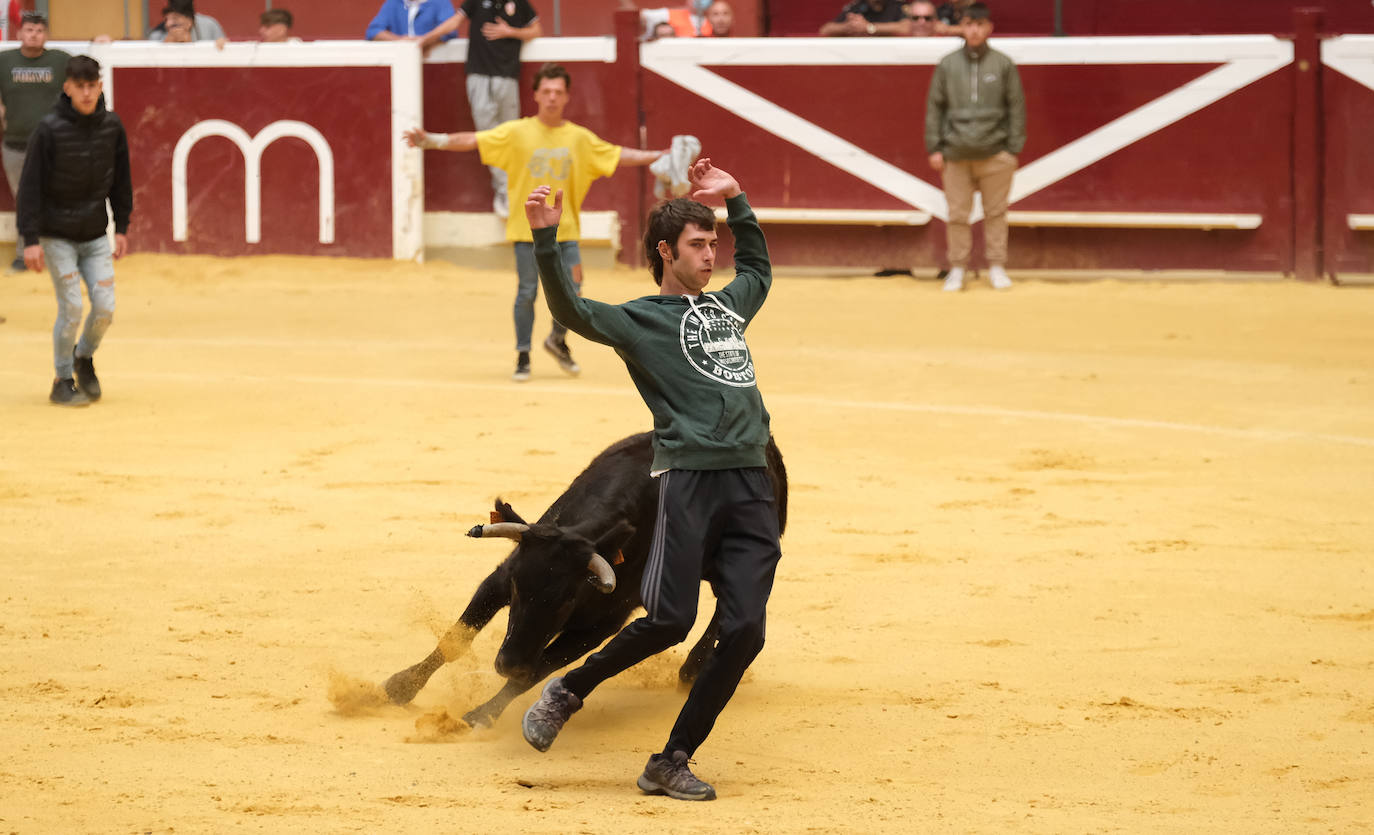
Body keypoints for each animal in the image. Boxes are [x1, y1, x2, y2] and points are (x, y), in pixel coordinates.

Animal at [381, 433, 791, 725]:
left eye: (566, 599)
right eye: (517, 588)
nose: (509, 663)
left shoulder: (603, 623)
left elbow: (538, 670)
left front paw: (481, 716)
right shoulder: (500, 578)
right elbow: (457, 639)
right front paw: (400, 688)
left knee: (732, 604)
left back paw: (691, 670)